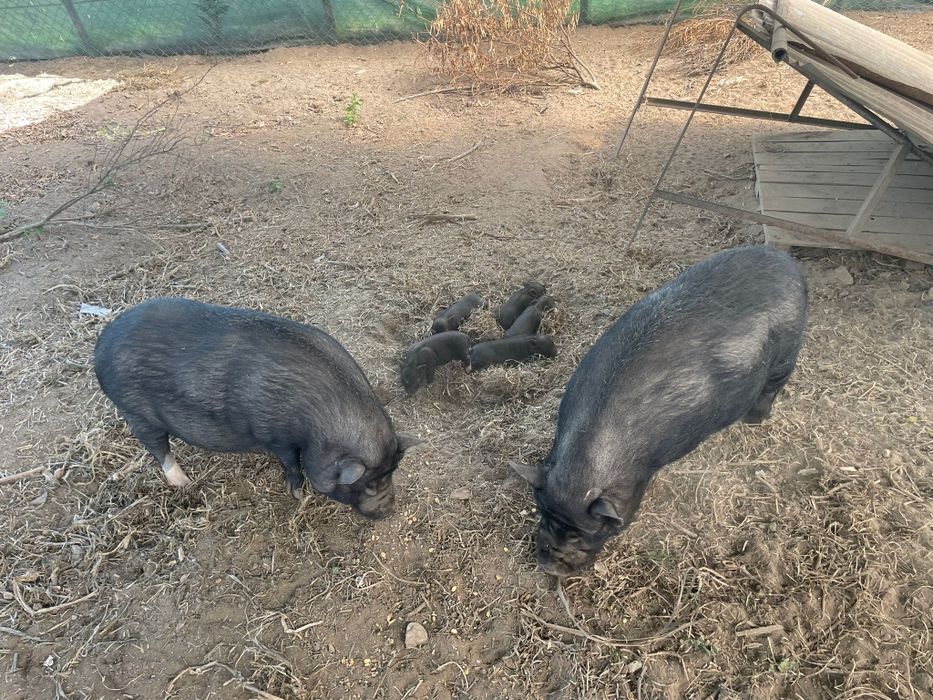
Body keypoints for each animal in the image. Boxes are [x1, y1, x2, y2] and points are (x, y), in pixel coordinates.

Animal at [94, 297, 418, 519]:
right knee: (156, 447)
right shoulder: (277, 437)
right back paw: (184, 484)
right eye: (368, 483)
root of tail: (100, 347)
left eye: (392, 473)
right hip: (135, 411)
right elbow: (291, 463)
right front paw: (296, 494)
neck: (316, 425)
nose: (389, 511)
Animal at [510, 245, 808, 576]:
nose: (549, 567)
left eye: (585, 532)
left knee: (773, 385)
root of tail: (784, 259)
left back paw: (754, 420)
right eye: (542, 513)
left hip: (787, 350)